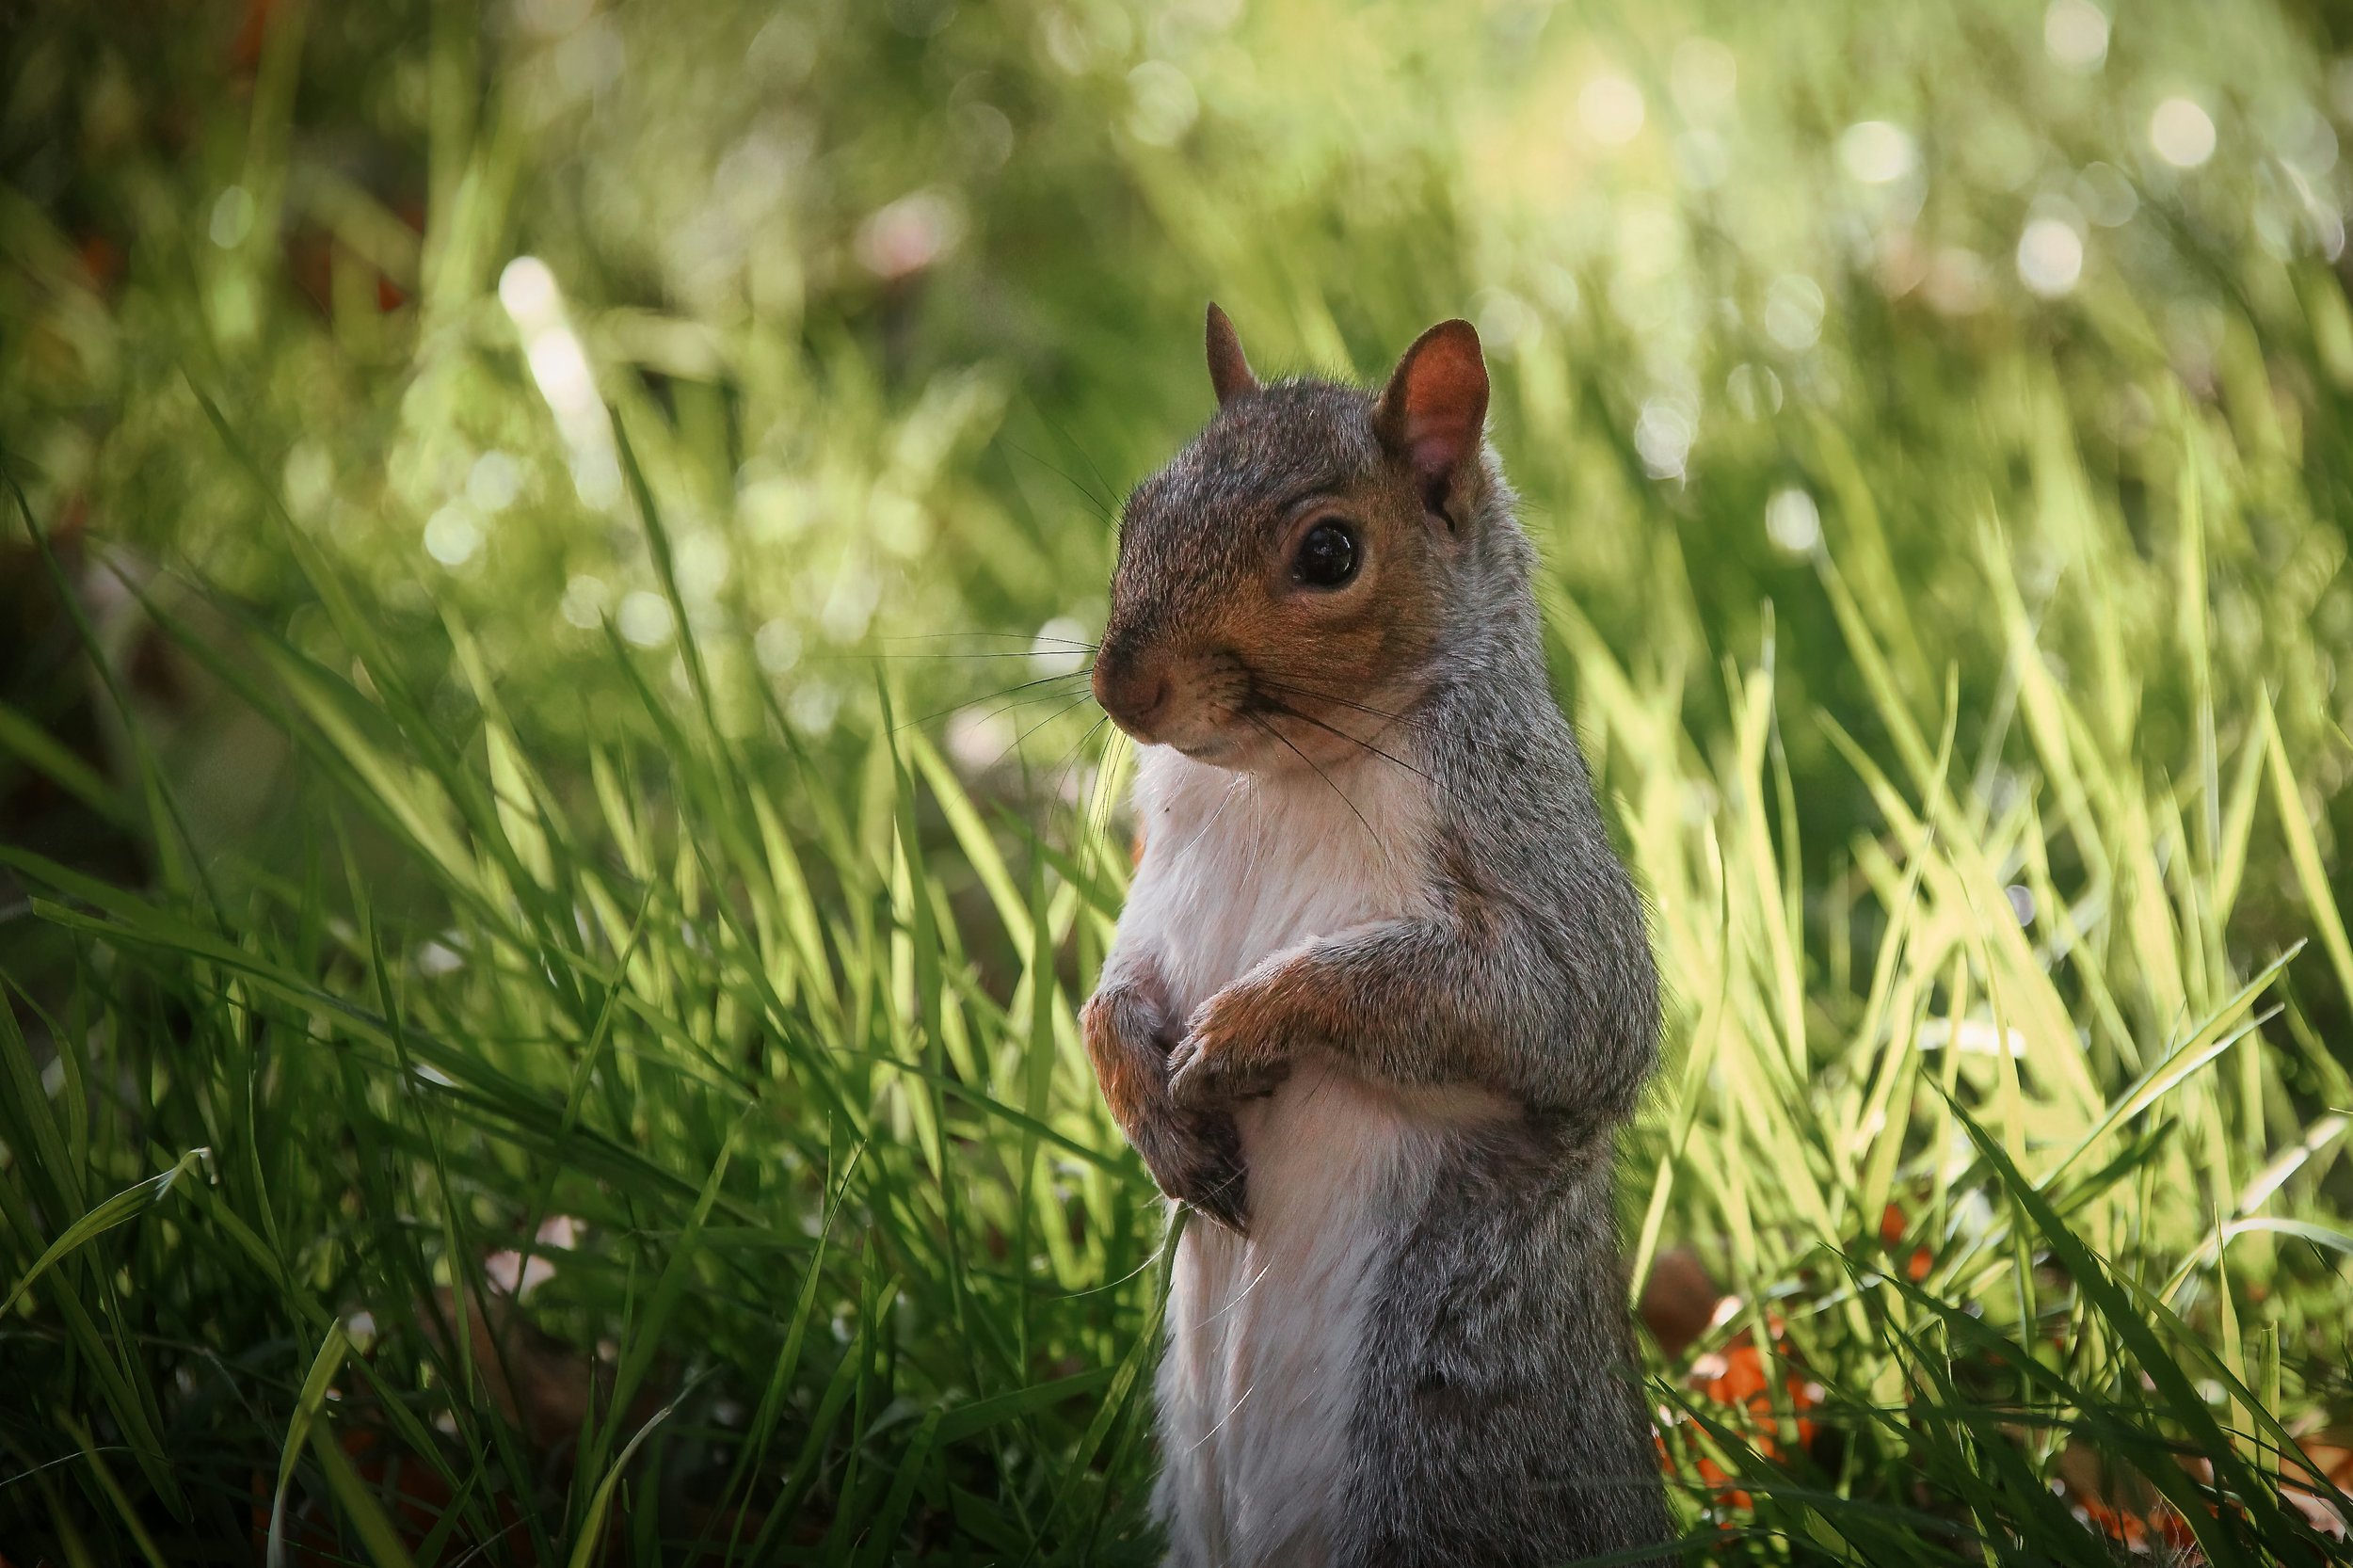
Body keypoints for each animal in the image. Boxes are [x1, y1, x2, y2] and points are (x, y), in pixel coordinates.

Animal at [1079, 306, 1674, 1567]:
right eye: (1139, 509)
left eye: (1328, 556)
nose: (1120, 688)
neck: (1275, 775)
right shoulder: (1156, 891)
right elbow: (1112, 992)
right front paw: (1149, 1104)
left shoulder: (1522, 838)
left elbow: (1558, 1013)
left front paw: (1247, 1028)